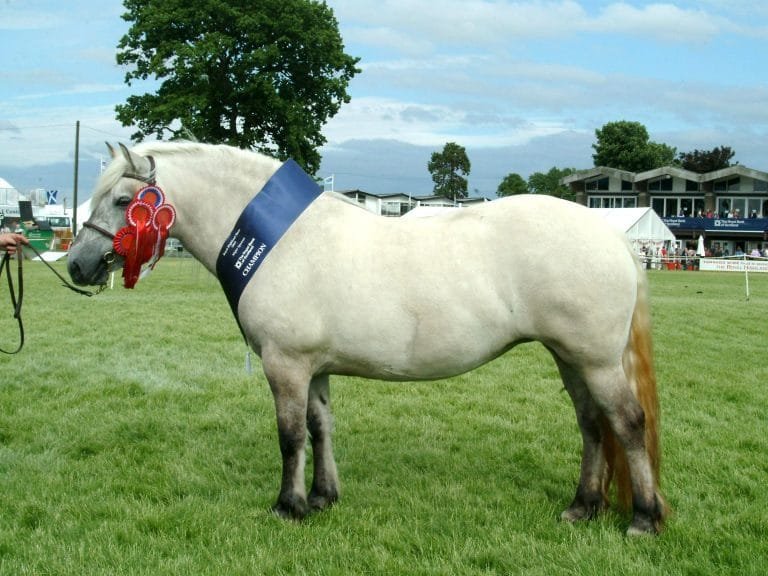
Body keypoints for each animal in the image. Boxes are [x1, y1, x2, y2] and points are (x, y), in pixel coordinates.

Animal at [68, 142, 668, 535]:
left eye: (123, 201)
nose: (77, 265)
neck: (280, 240)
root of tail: (613, 238)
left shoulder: (285, 364)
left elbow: (290, 436)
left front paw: (288, 507)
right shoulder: (314, 368)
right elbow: (320, 428)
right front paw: (323, 498)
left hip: (595, 361)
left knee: (627, 423)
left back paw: (643, 518)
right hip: (570, 358)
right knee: (592, 425)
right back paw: (583, 506)